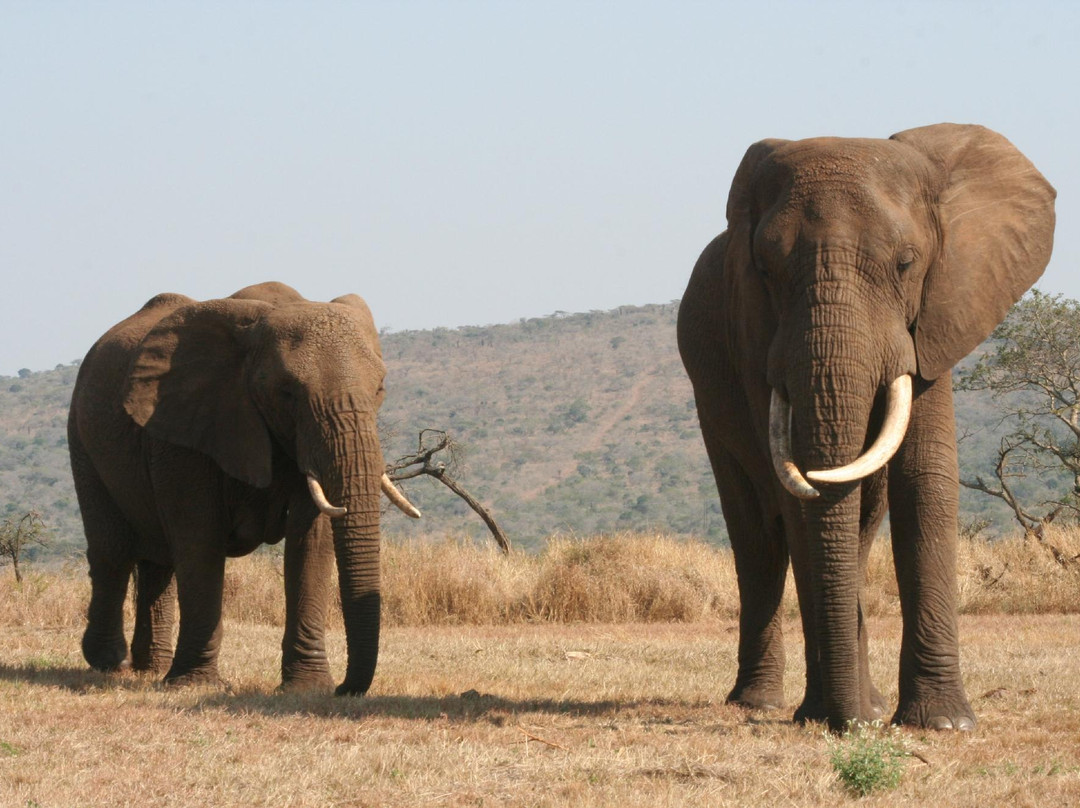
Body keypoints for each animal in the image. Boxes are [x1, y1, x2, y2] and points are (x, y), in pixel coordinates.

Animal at [69, 280, 419, 691]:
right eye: (287, 392)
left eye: (380, 388)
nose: (344, 691)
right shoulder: (184, 425)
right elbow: (199, 536)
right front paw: (196, 684)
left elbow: (311, 540)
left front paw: (307, 687)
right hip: (82, 436)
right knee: (113, 550)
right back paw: (111, 662)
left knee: (159, 560)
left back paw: (152, 668)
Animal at [678, 121, 1058, 730]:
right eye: (765, 270)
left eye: (906, 263)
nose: (848, 724)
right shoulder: (755, 338)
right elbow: (798, 494)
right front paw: (829, 716)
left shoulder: (937, 315)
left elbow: (924, 479)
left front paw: (940, 723)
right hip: (708, 388)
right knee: (758, 536)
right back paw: (762, 704)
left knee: (857, 523)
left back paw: (864, 704)